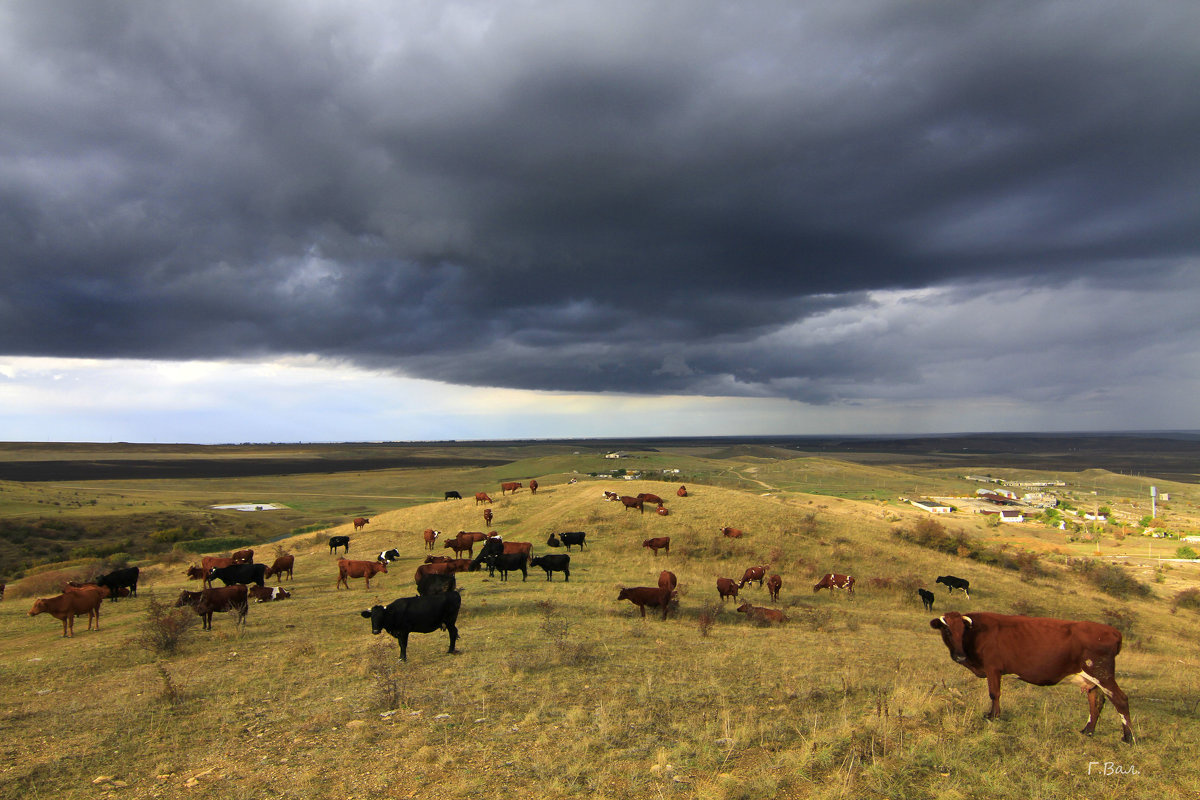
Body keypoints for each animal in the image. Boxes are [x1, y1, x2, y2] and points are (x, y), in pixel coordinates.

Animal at [926, 614, 1132, 743]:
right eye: (947, 631)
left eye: (963, 631)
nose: (959, 656)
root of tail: (1113, 631)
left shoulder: (993, 668)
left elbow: (994, 693)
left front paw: (993, 716)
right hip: (1092, 679)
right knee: (1096, 701)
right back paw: (1087, 731)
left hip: (1102, 673)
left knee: (1120, 699)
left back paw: (1128, 738)